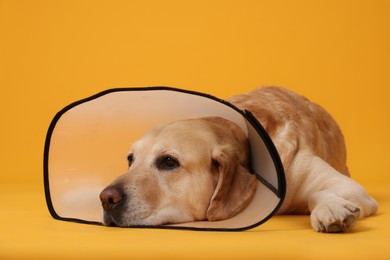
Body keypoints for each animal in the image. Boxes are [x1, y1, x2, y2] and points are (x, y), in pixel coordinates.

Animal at [99, 86, 376, 233]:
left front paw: (331, 208)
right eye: (130, 160)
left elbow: (317, 193)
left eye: (169, 161)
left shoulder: (350, 187)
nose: (106, 198)